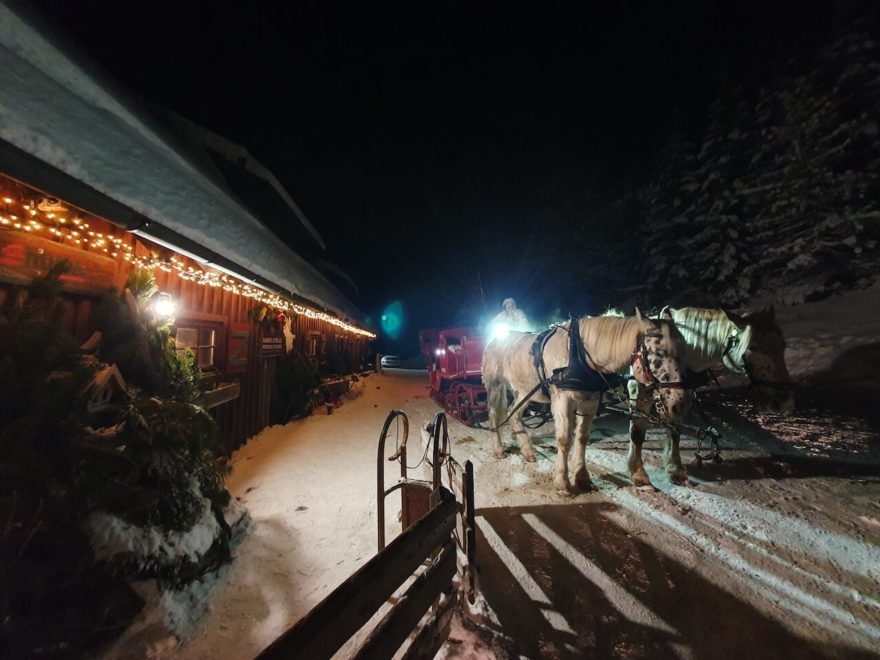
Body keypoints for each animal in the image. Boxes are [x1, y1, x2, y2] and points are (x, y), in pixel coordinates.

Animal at [482, 312, 688, 492]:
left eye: (684, 351)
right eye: (659, 353)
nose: (680, 403)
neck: (579, 353)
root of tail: (495, 339)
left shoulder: (590, 401)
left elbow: (582, 439)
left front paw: (582, 478)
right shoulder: (563, 401)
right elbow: (564, 440)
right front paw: (562, 483)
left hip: (525, 391)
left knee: (514, 413)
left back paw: (527, 451)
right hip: (495, 386)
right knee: (493, 415)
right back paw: (498, 449)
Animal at [628, 306, 796, 488]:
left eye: (783, 345)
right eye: (752, 346)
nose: (783, 401)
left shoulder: (675, 399)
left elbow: (674, 431)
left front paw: (675, 470)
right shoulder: (638, 393)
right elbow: (637, 434)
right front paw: (638, 473)